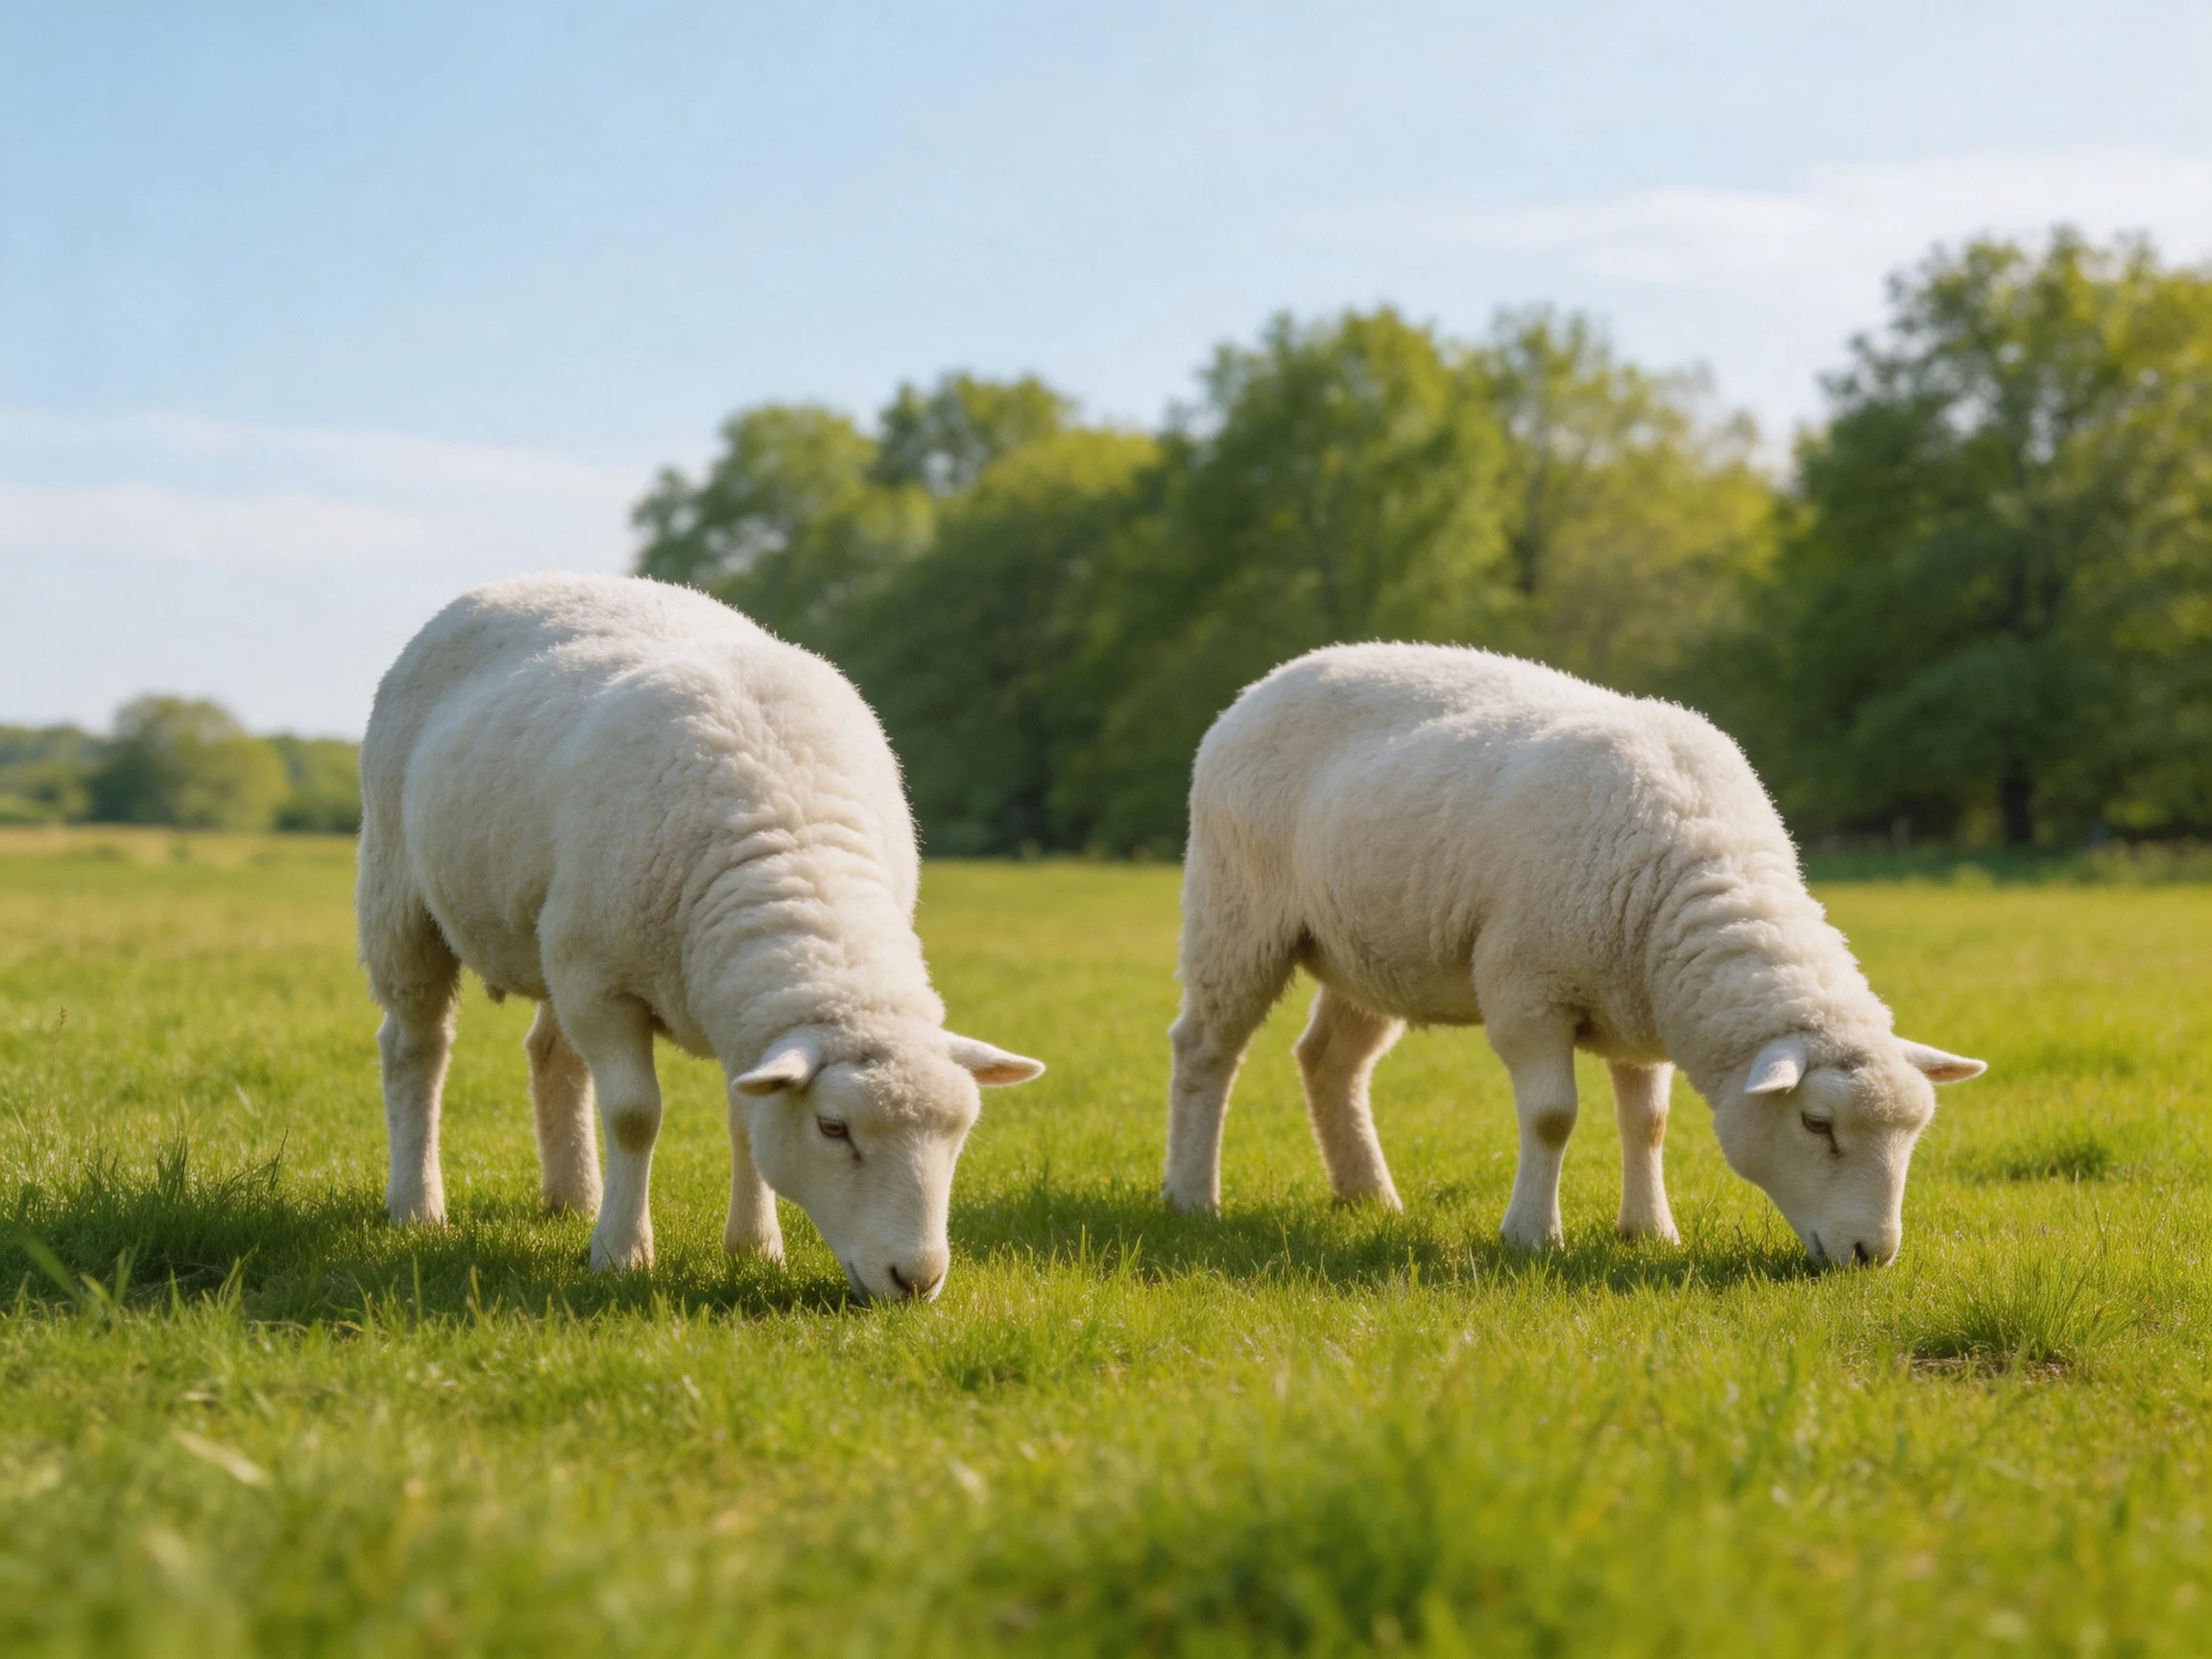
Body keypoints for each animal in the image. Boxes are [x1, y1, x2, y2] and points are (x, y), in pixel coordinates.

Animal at [357, 573, 1043, 1301]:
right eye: (833, 1127)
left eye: (961, 1131)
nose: (916, 1279)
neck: (793, 845)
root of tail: (530, 579)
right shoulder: (602, 986)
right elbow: (635, 1116)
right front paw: (622, 1253)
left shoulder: (680, 997)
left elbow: (747, 1121)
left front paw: (756, 1249)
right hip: (400, 896)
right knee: (416, 1047)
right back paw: (417, 1205)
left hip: (550, 937)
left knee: (552, 1054)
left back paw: (573, 1198)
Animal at [1163, 643, 1984, 1267]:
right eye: (1816, 1123)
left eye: (1914, 1134)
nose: (1872, 1255)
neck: (1694, 867)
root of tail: (1267, 682)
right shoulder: (1528, 992)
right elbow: (1554, 1117)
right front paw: (1532, 1236)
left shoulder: (1639, 1008)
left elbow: (1648, 1122)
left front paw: (1649, 1230)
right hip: (1235, 911)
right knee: (1204, 1049)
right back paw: (1191, 1196)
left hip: (1370, 949)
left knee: (1329, 1060)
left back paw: (1367, 1194)